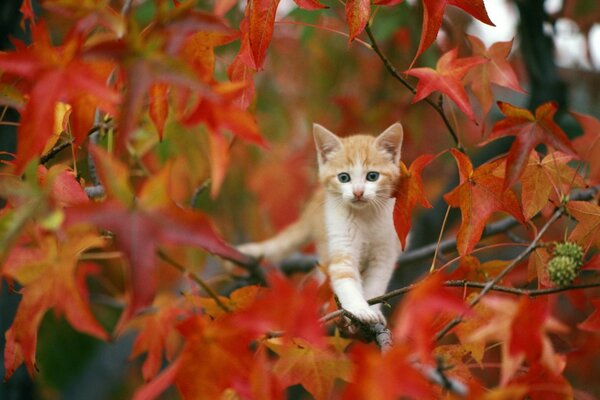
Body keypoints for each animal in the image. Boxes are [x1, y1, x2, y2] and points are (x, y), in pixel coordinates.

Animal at [239, 122, 404, 324]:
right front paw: (359, 309)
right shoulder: (340, 241)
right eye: (343, 177)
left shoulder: (384, 252)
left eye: (372, 176)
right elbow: (344, 278)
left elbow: (376, 283)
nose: (358, 192)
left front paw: (373, 311)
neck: (364, 215)